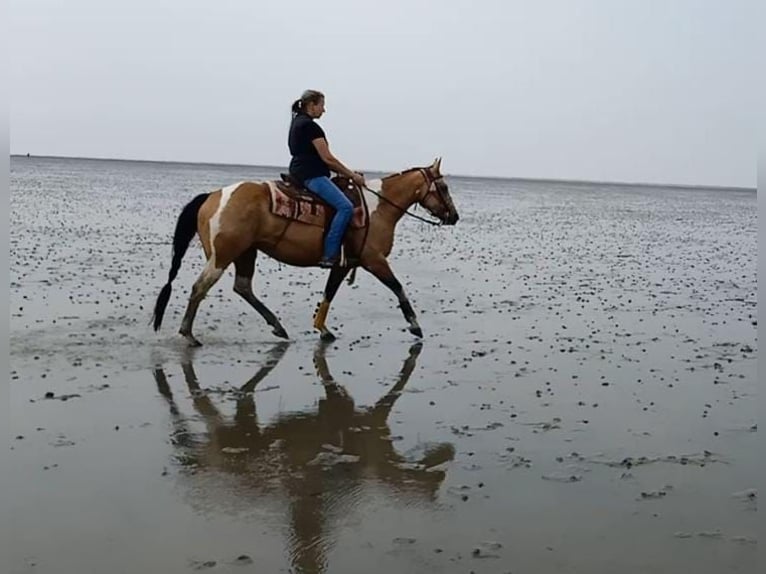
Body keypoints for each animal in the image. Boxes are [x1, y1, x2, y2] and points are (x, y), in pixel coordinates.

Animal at [153, 156, 460, 346]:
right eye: (444, 186)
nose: (454, 216)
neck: (379, 208)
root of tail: (213, 196)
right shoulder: (374, 260)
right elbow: (397, 286)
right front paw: (415, 325)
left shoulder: (343, 263)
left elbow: (329, 293)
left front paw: (323, 328)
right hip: (223, 256)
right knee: (200, 288)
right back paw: (188, 334)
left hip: (246, 252)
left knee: (243, 287)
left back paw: (277, 326)